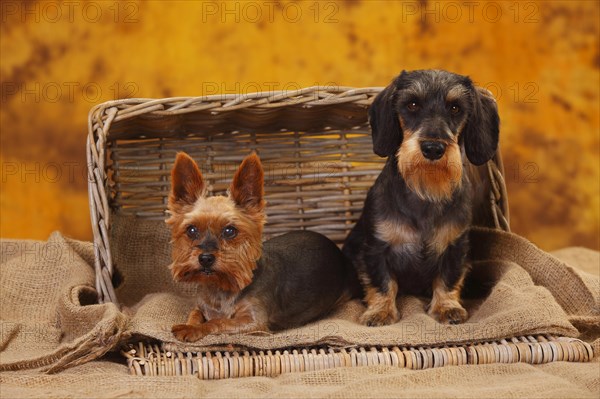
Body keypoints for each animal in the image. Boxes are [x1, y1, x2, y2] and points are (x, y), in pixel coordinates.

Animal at [166, 152, 350, 342]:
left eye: (230, 231)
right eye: (191, 230)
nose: (205, 258)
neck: (220, 287)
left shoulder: (255, 322)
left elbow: (218, 321)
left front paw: (191, 329)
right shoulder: (200, 306)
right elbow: (195, 314)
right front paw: (190, 325)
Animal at [344, 69, 500, 324]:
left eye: (455, 108)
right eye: (413, 104)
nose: (433, 149)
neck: (425, 191)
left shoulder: (455, 248)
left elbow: (447, 279)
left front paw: (446, 307)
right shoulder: (375, 248)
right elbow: (382, 282)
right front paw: (381, 311)